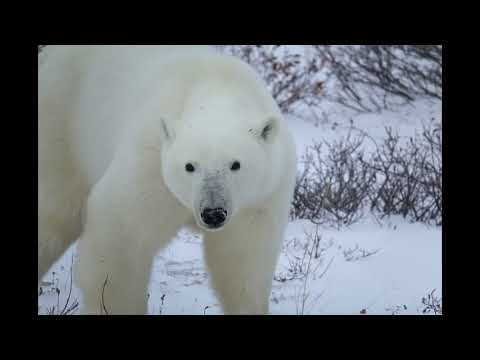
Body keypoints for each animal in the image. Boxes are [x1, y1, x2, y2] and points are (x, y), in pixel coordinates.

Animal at [39, 45, 296, 316]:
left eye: (235, 164)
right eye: (189, 166)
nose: (213, 213)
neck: (218, 85)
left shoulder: (263, 194)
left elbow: (244, 257)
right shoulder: (151, 164)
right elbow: (121, 234)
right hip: (63, 122)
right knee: (55, 212)